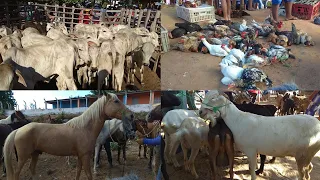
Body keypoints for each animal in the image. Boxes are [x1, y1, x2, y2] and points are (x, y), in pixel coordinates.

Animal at [3, 93, 134, 180]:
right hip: (23, 157)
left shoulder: (81, 156)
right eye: (116, 101)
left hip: (35, 154)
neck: (85, 128)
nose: (132, 115)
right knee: (16, 174)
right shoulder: (85, 156)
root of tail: (18, 130)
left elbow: (78, 172)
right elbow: (88, 174)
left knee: (32, 169)